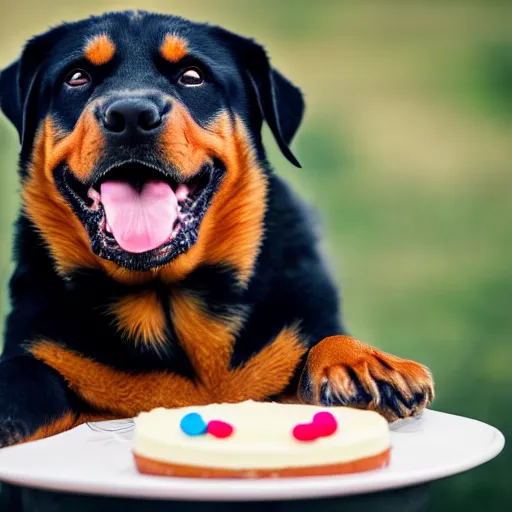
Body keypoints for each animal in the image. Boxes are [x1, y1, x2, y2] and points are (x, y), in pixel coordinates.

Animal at [0, 10, 432, 446]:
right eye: (76, 77)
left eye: (193, 76)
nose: (131, 114)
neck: (167, 301)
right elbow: (27, 377)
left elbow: (321, 341)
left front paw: (361, 362)